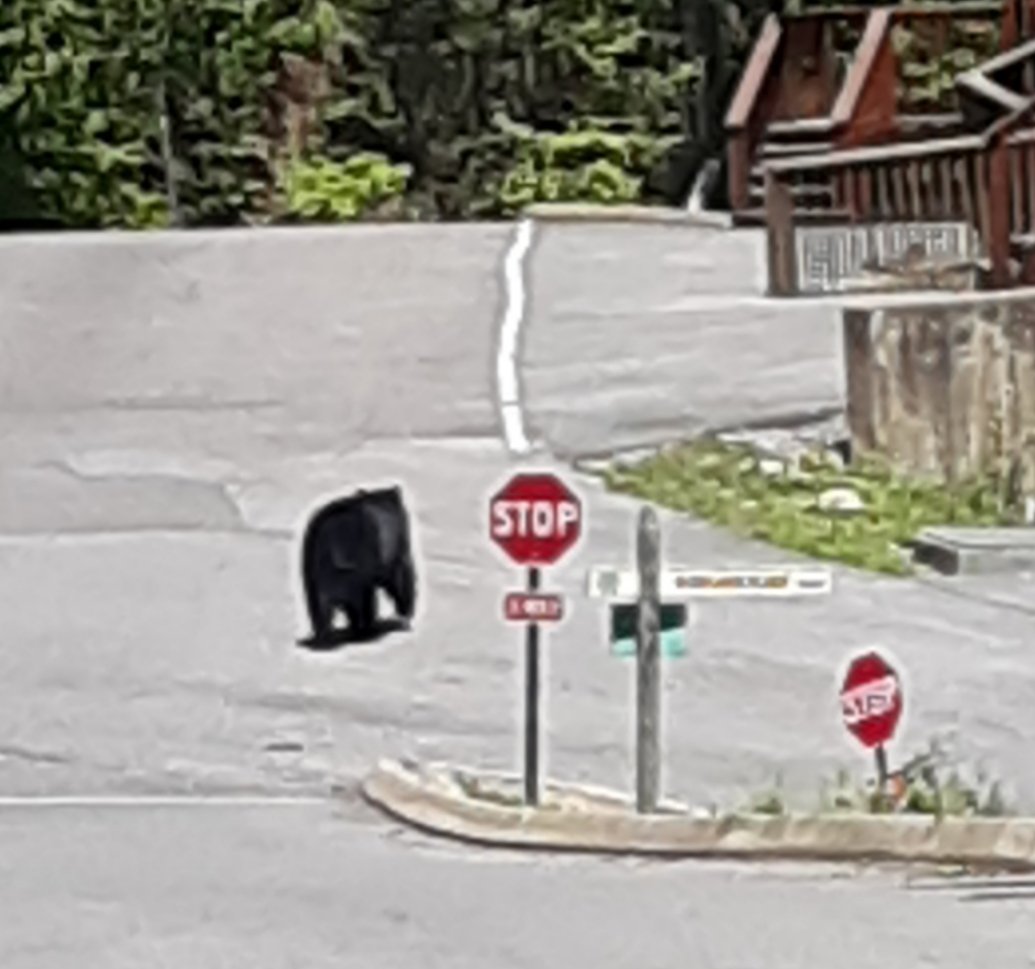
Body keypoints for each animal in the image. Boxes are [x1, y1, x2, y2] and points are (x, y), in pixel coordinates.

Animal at [300, 484, 416, 641]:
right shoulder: (397, 554)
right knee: (364, 604)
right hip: (358, 579)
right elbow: (400, 581)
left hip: (315, 584)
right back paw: (367, 628)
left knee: (321, 612)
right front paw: (405, 617)